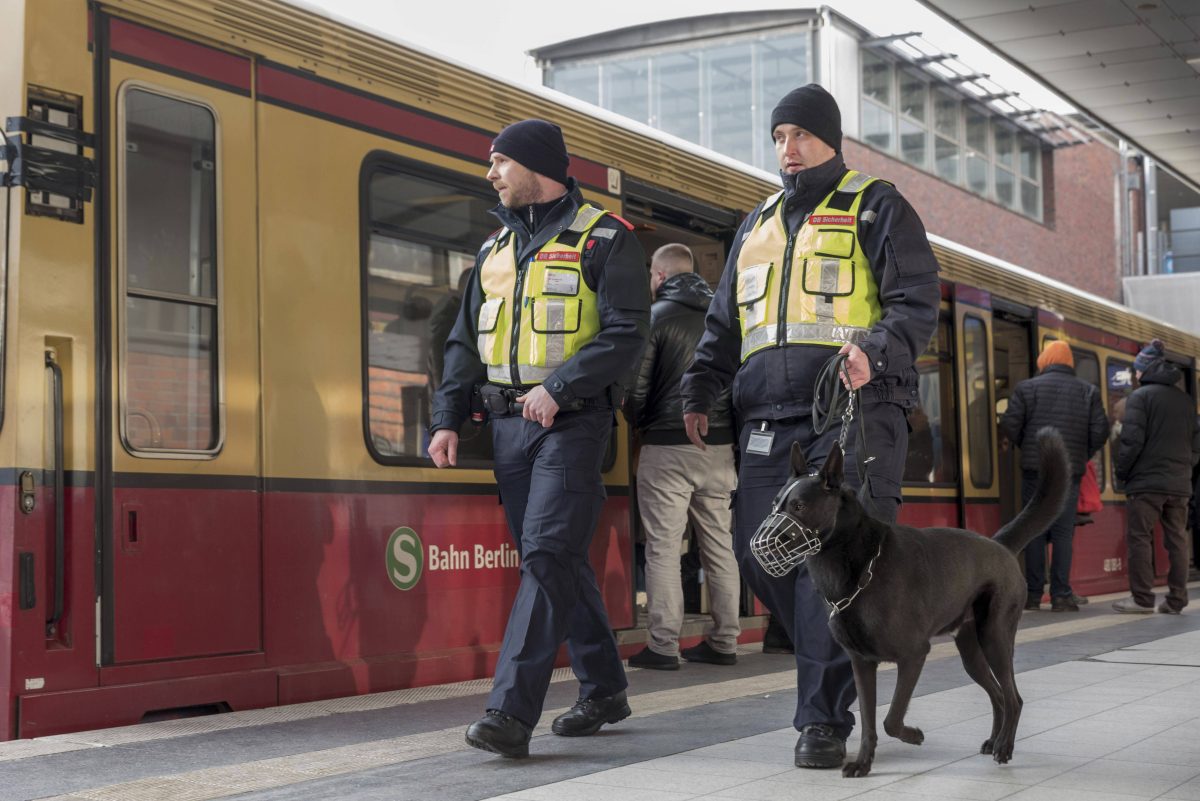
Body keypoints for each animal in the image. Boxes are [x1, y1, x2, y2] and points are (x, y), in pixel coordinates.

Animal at [777, 431, 1070, 777]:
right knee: (998, 694)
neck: (859, 564)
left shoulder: (914, 655)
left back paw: (1004, 748)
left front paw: (913, 735)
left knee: (1014, 699)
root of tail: (999, 544)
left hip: (995, 637)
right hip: (971, 652)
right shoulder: (862, 664)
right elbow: (868, 723)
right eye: (775, 503)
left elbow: (891, 719)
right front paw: (863, 763)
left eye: (799, 506)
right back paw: (994, 741)